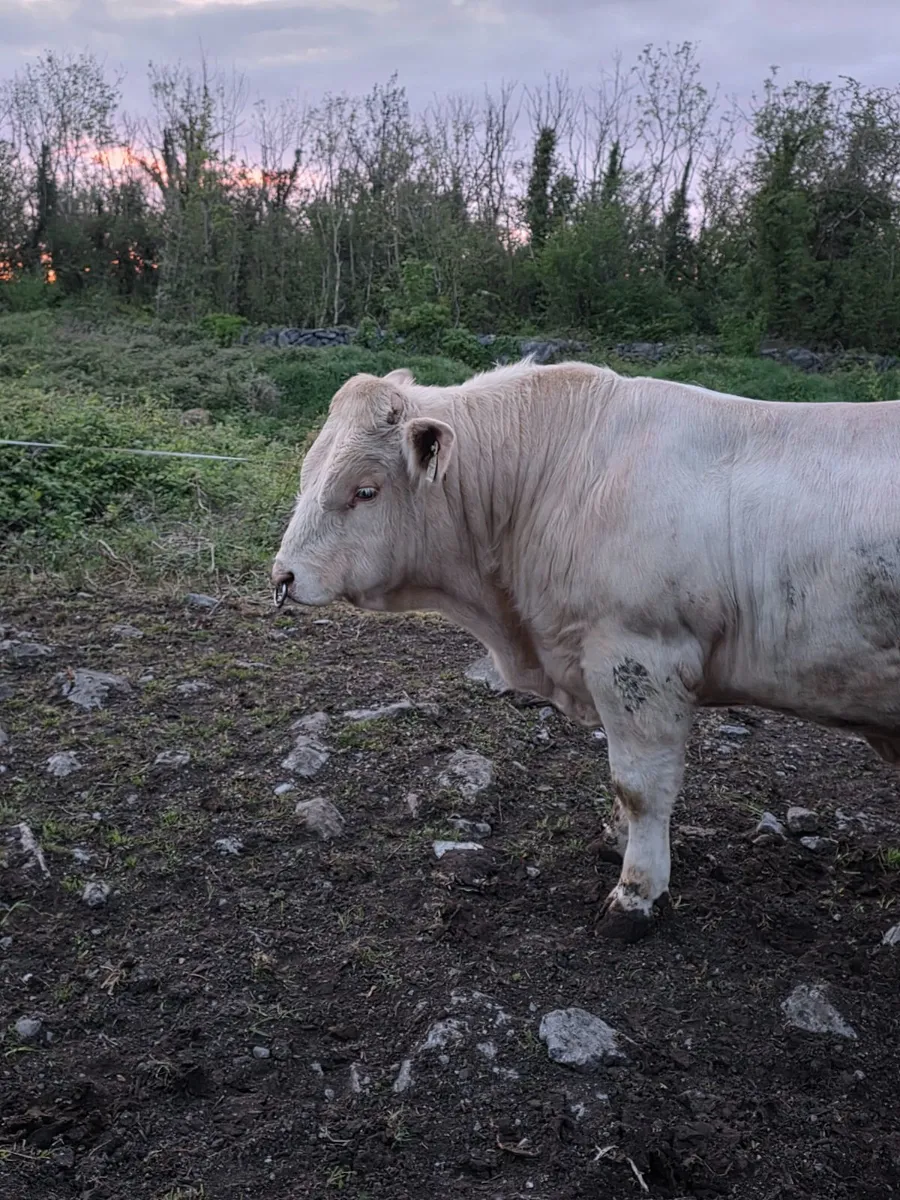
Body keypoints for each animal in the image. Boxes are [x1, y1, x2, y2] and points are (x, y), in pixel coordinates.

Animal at [271, 358, 900, 941]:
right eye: (308, 474)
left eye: (364, 490)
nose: (284, 577)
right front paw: (615, 839)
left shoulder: (640, 655)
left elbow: (641, 784)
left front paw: (636, 893)